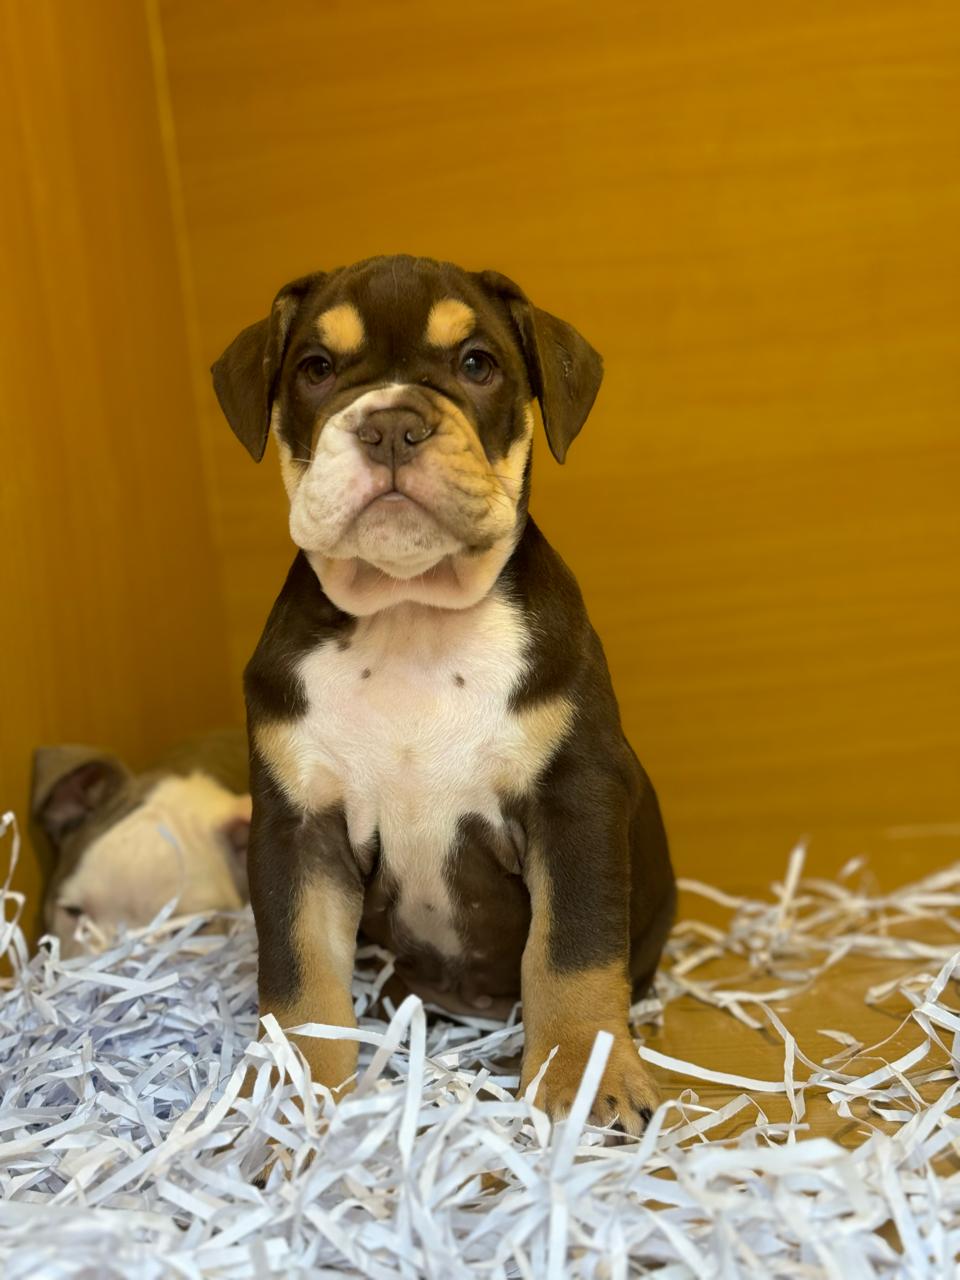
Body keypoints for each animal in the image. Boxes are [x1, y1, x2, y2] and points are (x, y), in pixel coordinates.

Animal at [212, 254, 675, 1136]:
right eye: (315, 369)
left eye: (477, 363)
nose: (392, 423)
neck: (410, 619)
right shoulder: (299, 831)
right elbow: (300, 980)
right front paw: (294, 1099)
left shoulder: (573, 802)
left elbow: (571, 952)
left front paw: (586, 1078)